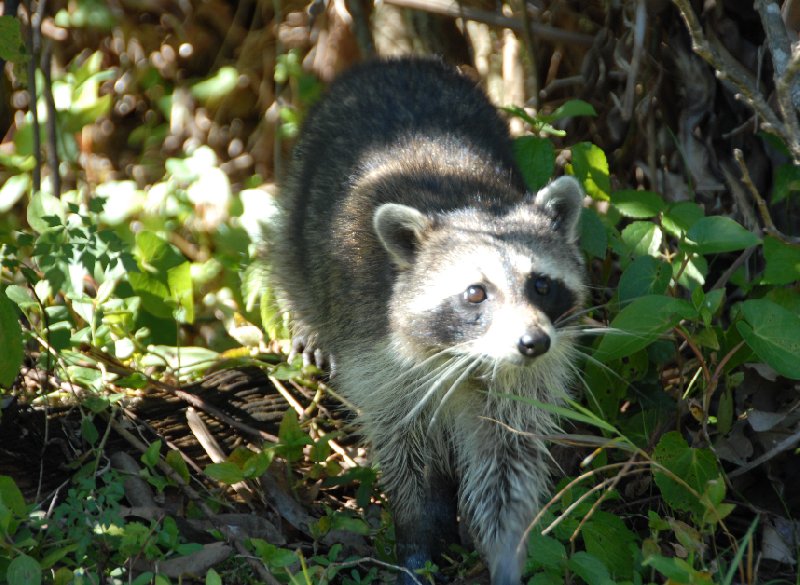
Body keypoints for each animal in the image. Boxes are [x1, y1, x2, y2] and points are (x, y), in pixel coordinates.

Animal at [270, 56, 588, 584]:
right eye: (476, 293)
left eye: (541, 285)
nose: (532, 342)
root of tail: (395, 62)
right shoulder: (379, 356)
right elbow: (407, 456)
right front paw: (418, 536)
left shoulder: (525, 382)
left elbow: (506, 463)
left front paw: (504, 549)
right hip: (302, 195)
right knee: (290, 262)